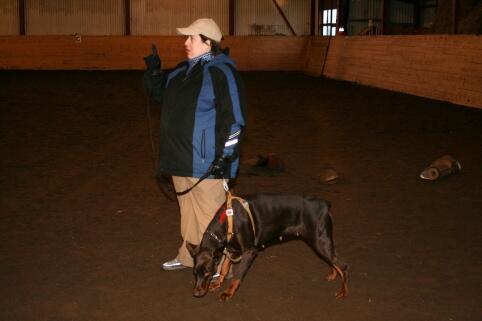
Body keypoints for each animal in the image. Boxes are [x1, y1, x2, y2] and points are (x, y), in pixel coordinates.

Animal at [186, 192, 348, 300]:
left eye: (207, 272)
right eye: (194, 272)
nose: (196, 293)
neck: (227, 220)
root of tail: (325, 204)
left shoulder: (249, 252)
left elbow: (237, 276)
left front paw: (228, 292)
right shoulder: (232, 249)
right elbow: (225, 268)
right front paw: (218, 283)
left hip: (319, 242)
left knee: (344, 266)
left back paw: (344, 291)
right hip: (322, 242)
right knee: (334, 260)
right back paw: (333, 274)